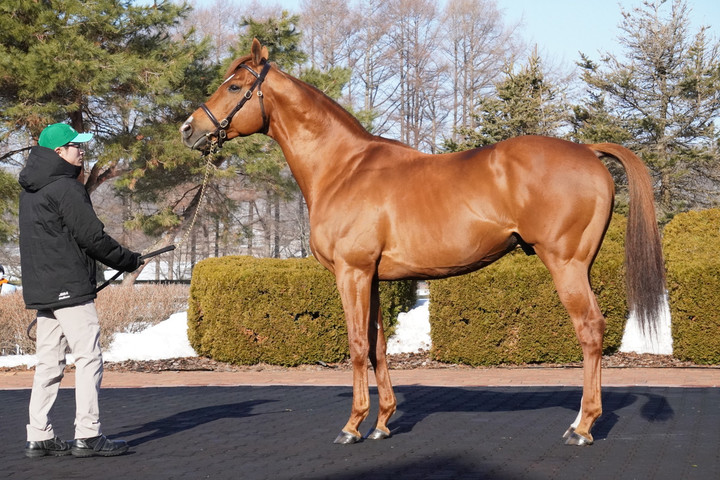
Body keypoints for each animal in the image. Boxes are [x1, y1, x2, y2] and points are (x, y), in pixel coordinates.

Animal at [181, 39, 666, 446]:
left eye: (235, 85)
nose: (188, 129)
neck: (343, 168)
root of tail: (588, 151)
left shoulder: (351, 273)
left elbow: (356, 346)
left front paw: (352, 426)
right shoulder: (373, 278)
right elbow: (377, 346)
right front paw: (381, 422)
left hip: (566, 265)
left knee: (591, 331)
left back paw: (582, 427)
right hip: (580, 265)